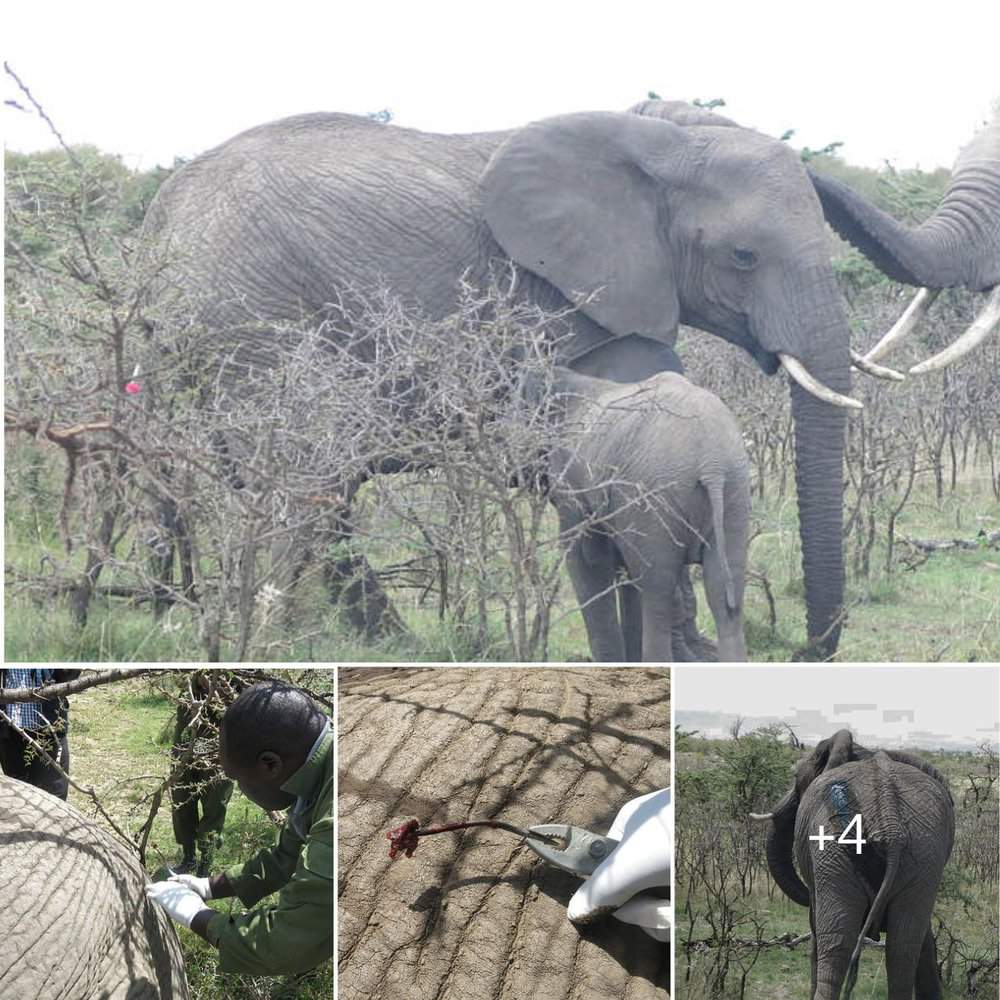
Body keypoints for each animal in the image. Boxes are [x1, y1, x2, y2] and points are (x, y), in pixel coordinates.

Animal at [540, 366, 750, 661]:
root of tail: (713, 465)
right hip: (735, 493)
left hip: (654, 496)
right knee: (723, 592)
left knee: (656, 593)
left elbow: (587, 559)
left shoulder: (572, 481)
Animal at [751, 730, 955, 999]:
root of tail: (890, 822)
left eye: (795, 777)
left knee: (835, 943)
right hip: (924, 852)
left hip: (834, 854)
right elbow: (925, 940)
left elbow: (815, 925)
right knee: (903, 947)